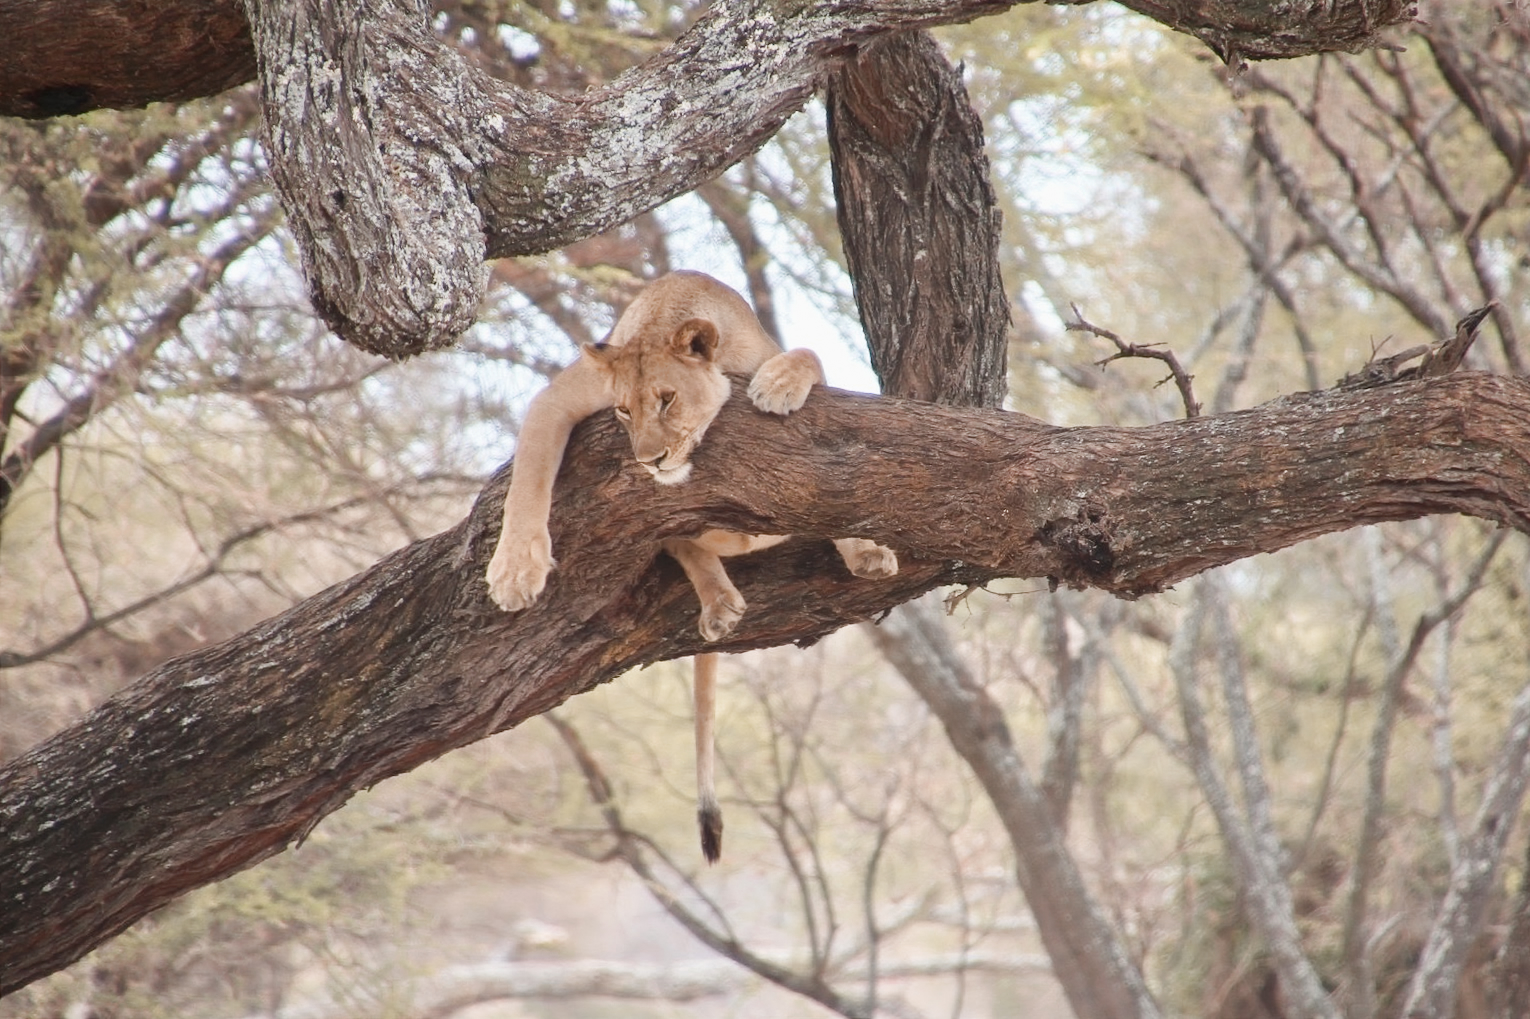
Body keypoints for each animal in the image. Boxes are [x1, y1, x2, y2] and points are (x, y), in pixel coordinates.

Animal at [486, 271, 898, 861]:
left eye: (667, 399)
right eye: (623, 411)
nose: (649, 460)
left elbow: (807, 355)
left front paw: (778, 384)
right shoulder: (557, 400)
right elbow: (528, 478)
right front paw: (515, 571)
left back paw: (866, 552)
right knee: (684, 543)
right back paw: (720, 600)